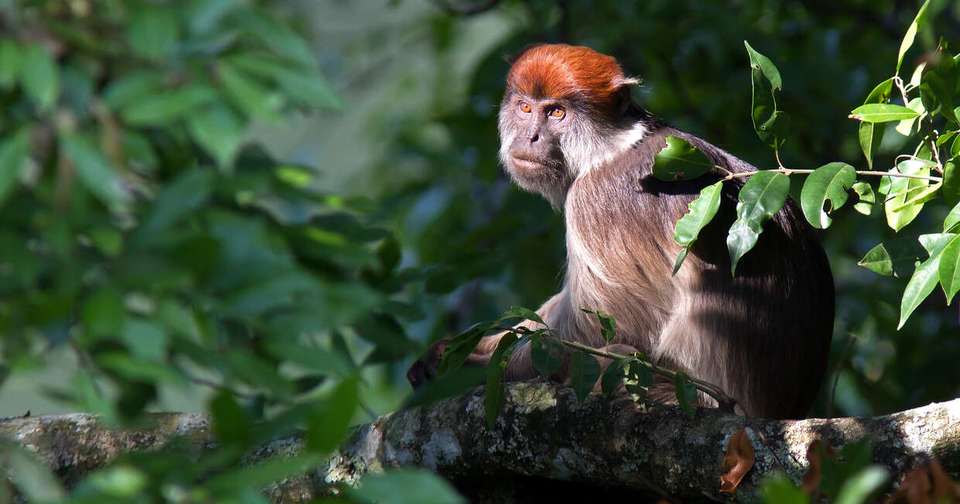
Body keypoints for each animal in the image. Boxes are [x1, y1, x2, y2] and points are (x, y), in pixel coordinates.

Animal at [407, 44, 834, 419]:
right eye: (525, 108)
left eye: (557, 113)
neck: (612, 148)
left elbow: (611, 329)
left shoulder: (594, 200)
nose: (530, 137)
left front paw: (477, 366)